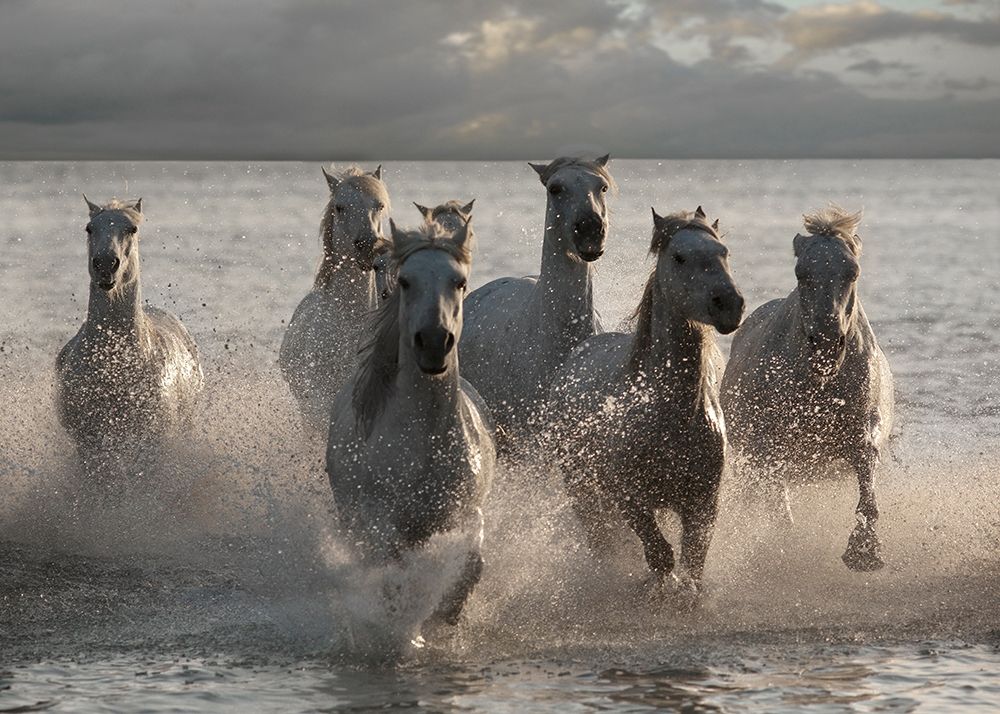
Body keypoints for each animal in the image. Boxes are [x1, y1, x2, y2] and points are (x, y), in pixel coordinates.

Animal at [56, 197, 204, 484]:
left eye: (132, 229)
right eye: (89, 228)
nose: (105, 264)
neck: (115, 363)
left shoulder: (151, 441)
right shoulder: (89, 441)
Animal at [326, 218, 495, 625]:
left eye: (459, 281)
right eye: (406, 281)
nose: (433, 342)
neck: (424, 439)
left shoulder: (465, 513)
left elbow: (473, 562)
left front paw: (448, 611)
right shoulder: (380, 519)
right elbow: (392, 570)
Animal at [548, 207, 744, 586]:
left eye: (723, 252)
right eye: (679, 257)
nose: (729, 304)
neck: (672, 415)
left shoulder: (703, 503)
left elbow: (692, 561)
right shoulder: (631, 499)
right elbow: (660, 556)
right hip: (583, 491)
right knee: (601, 539)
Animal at [720, 206, 894, 572]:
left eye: (853, 271)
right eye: (801, 273)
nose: (826, 343)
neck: (821, 383)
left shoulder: (861, 431)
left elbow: (867, 482)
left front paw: (865, 549)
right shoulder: (767, 445)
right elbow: (776, 504)